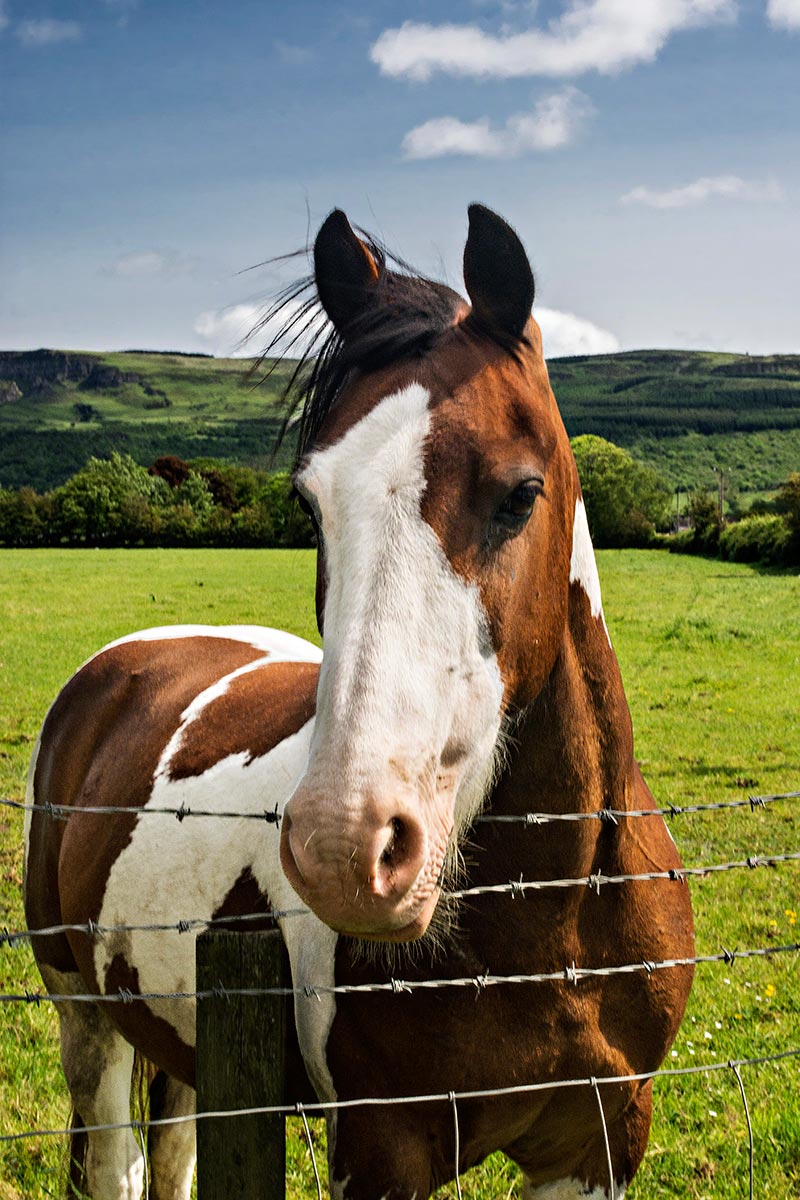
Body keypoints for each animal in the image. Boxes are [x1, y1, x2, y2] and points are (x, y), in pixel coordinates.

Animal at [24, 204, 694, 1200]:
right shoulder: (381, 1151)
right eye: (310, 505)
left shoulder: (600, 1143)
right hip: (85, 1013)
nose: (346, 851)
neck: (554, 921)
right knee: (117, 1159)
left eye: (521, 493)